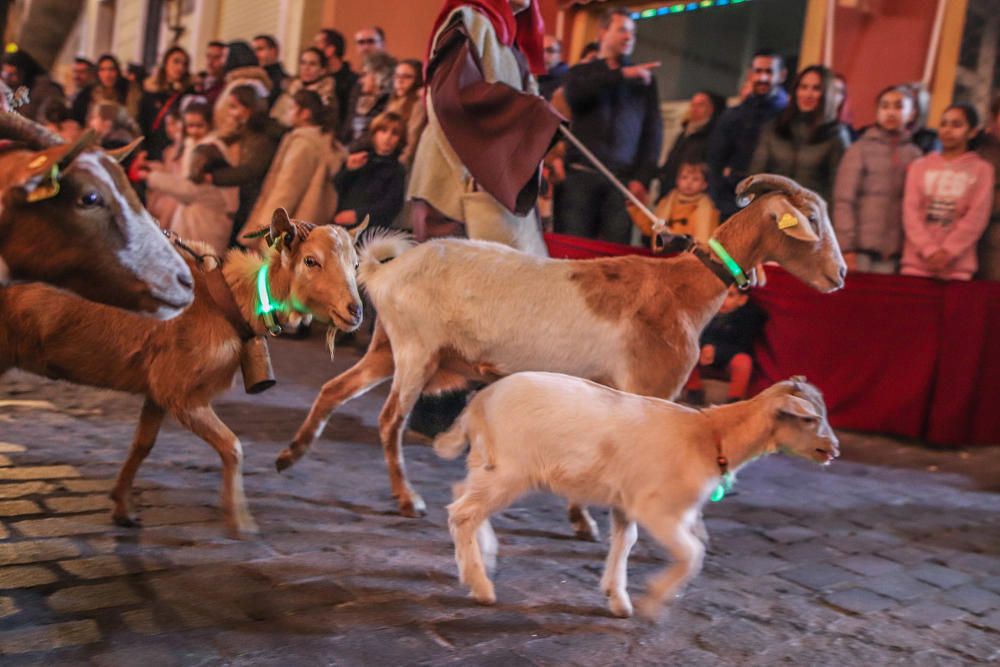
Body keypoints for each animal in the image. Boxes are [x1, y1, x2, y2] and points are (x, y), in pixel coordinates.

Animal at [436, 374, 836, 620]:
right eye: (809, 419)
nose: (833, 450)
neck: (710, 436)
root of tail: (479, 402)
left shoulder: (626, 500)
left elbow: (625, 541)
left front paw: (617, 598)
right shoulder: (657, 508)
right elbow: (692, 553)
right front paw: (653, 600)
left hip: (488, 462)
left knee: (461, 497)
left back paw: (483, 557)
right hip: (512, 469)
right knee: (462, 512)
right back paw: (480, 585)